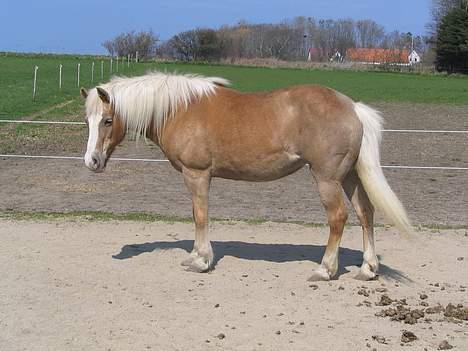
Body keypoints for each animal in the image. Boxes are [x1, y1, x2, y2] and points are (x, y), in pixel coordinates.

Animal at [81, 70, 414, 282]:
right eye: (88, 120)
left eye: (108, 120)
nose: (92, 161)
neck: (179, 109)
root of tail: (352, 107)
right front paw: (194, 256)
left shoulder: (197, 175)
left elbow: (200, 215)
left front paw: (201, 260)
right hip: (350, 176)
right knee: (365, 213)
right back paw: (368, 269)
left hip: (327, 179)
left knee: (338, 218)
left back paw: (325, 270)